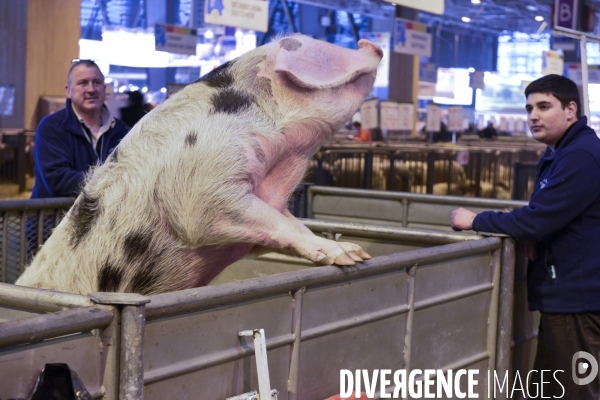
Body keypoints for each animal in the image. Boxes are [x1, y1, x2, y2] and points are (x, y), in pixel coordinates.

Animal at [16, 34, 382, 296]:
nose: (374, 44)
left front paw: (356, 252)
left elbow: (291, 224)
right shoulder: (202, 188)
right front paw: (351, 255)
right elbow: (267, 221)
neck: (282, 159)